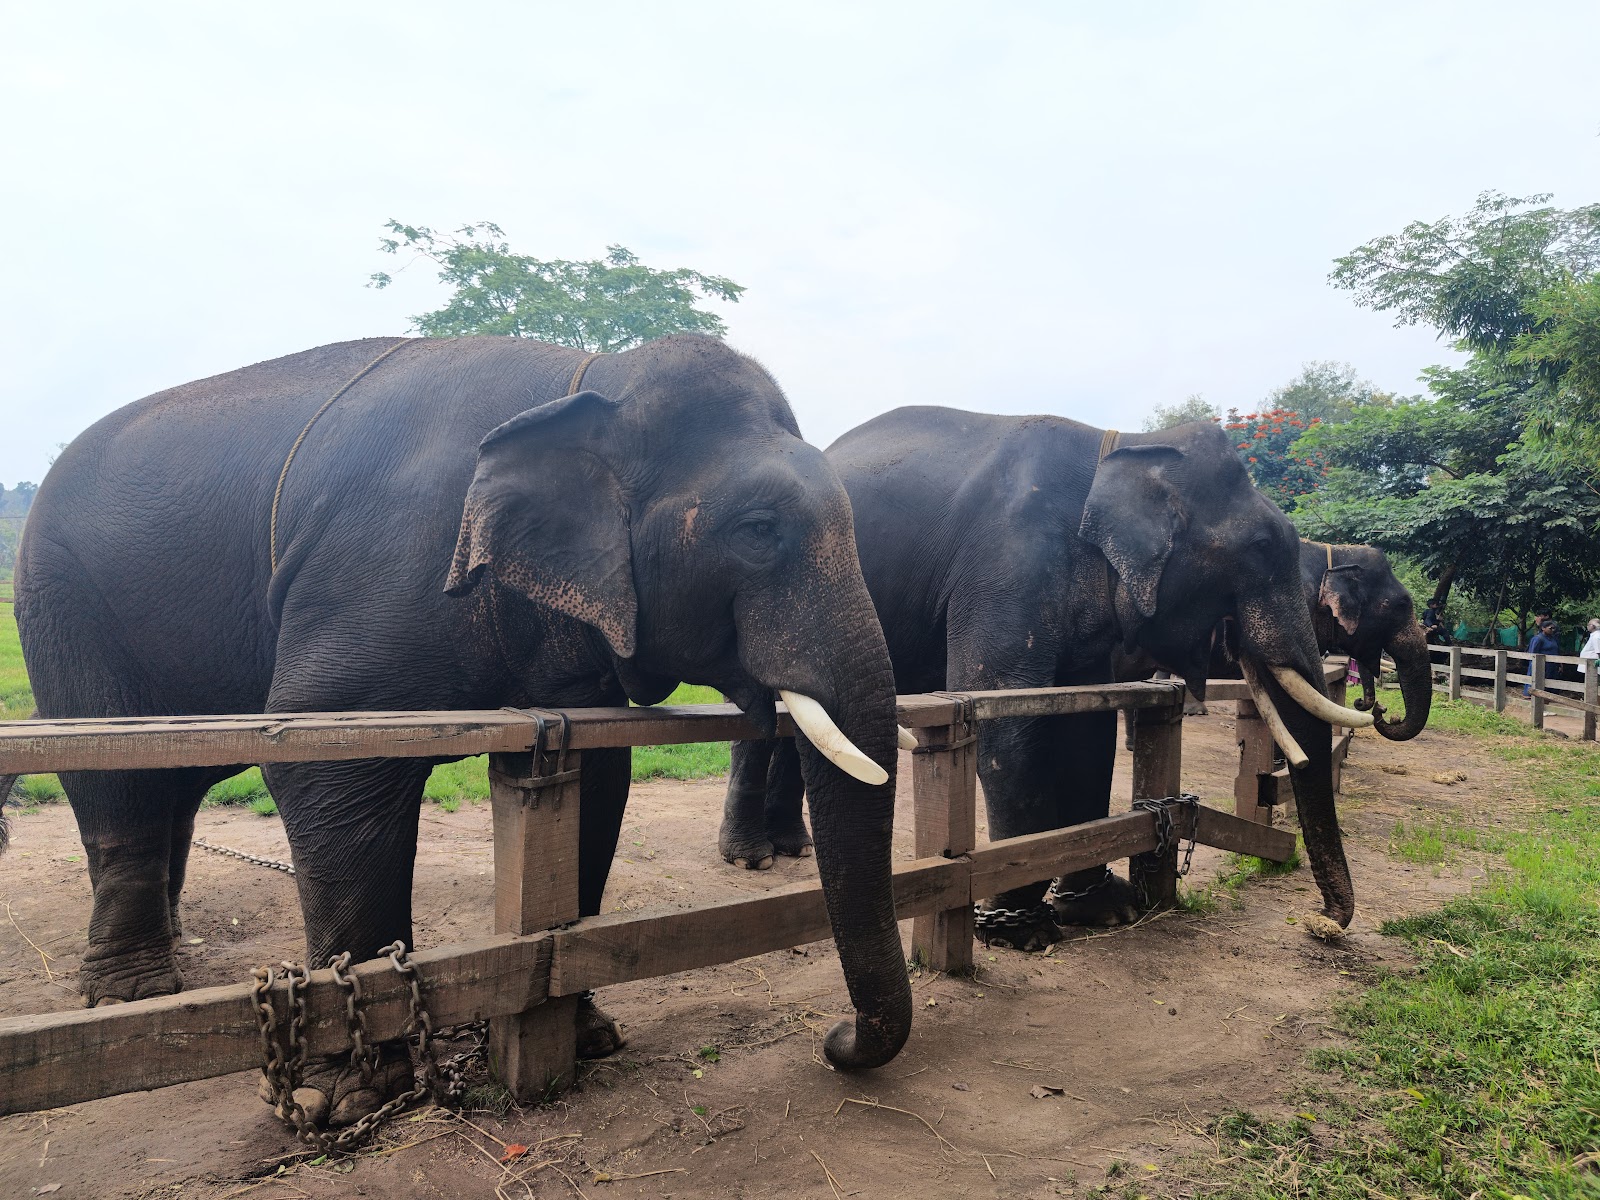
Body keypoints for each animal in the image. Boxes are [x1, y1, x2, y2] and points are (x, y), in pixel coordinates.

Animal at [10, 334, 912, 1125]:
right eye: (759, 530)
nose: (836, 1040)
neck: (594, 377)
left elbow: (600, 774)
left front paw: (589, 1038)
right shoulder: (378, 570)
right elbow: (325, 756)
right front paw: (352, 1098)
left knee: (174, 786)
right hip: (60, 602)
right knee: (116, 779)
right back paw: (130, 994)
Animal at [721, 408, 1370, 949]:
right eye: (1261, 546)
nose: (1320, 923)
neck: (1125, 447)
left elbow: (1087, 732)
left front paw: (1104, 910)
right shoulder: (1008, 564)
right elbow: (1010, 729)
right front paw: (1018, 930)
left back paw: (792, 847)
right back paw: (753, 858)